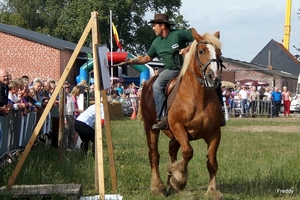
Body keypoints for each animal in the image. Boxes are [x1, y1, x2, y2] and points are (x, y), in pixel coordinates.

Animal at [140, 28, 223, 198]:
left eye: (219, 53)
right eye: (201, 51)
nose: (214, 78)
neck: (198, 97)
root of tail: (147, 84)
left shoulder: (214, 133)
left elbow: (212, 162)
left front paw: (212, 190)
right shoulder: (178, 127)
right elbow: (188, 152)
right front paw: (179, 178)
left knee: (172, 150)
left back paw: (169, 184)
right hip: (150, 128)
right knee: (154, 155)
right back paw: (157, 186)